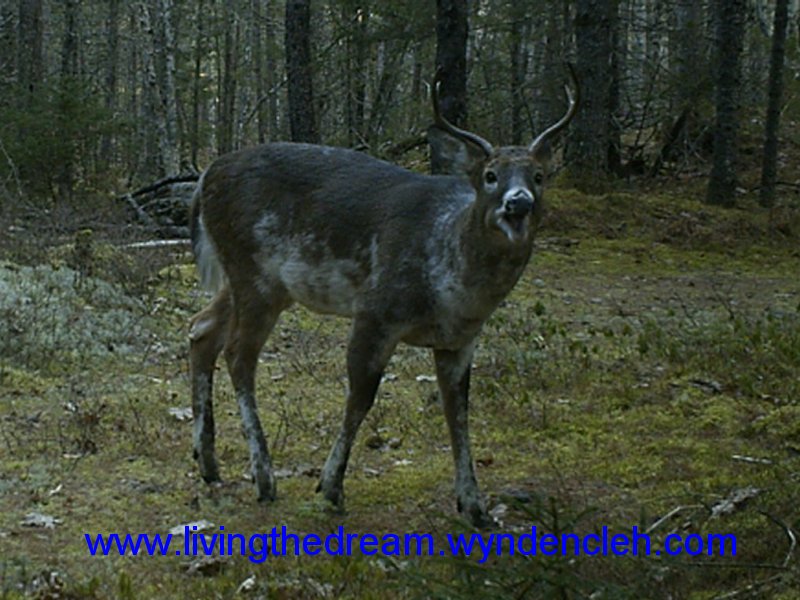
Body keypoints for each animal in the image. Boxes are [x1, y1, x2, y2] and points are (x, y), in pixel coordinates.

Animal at [188, 65, 576, 524]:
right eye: (490, 175)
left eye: (539, 176)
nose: (519, 203)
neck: (453, 288)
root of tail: (204, 178)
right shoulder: (376, 310)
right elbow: (361, 396)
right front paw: (331, 486)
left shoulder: (460, 339)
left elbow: (458, 410)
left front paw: (474, 505)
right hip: (253, 272)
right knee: (238, 354)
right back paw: (264, 478)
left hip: (255, 281)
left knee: (201, 329)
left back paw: (208, 462)